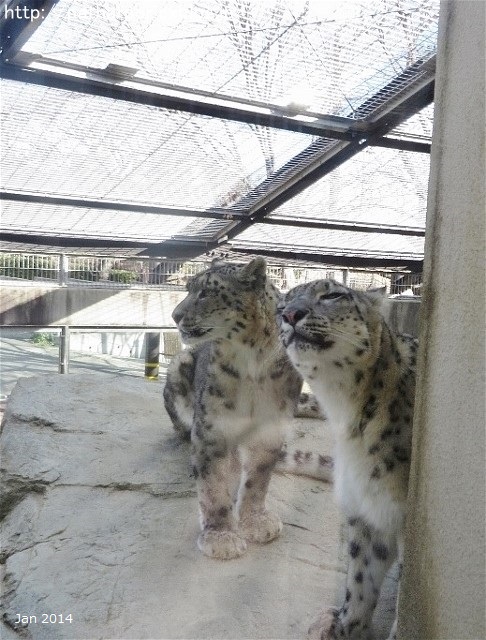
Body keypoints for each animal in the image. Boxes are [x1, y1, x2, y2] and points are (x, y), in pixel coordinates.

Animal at [163, 258, 308, 556]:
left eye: (206, 292)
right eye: (188, 288)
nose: (174, 316)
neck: (251, 359)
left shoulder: (270, 428)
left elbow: (258, 480)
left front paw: (256, 521)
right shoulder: (212, 427)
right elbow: (213, 486)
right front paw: (220, 537)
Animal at [278, 278, 418, 640]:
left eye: (332, 294)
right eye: (283, 301)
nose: (291, 314)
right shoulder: (368, 508)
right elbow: (360, 576)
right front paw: (344, 626)